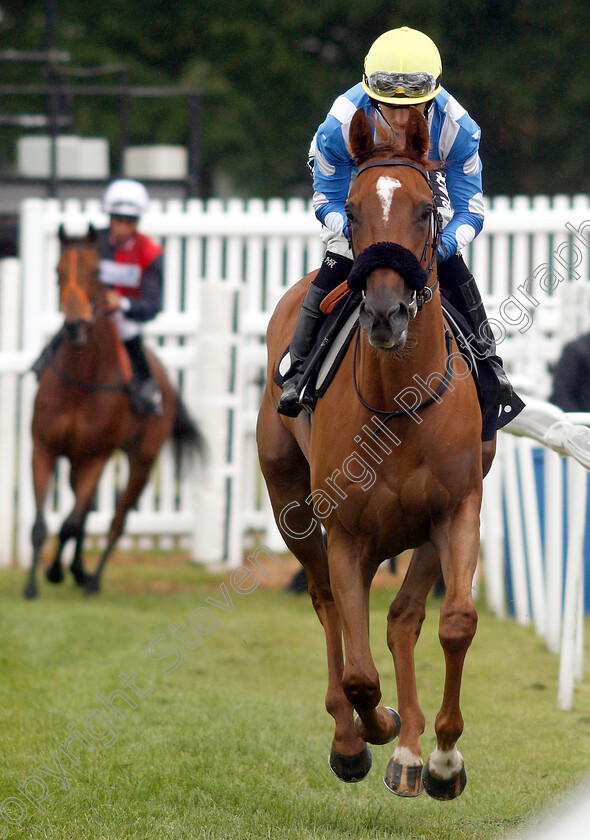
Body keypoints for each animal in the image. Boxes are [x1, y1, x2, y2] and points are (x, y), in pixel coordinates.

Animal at [24, 226, 206, 600]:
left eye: (96, 273)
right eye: (57, 272)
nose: (75, 326)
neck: (80, 381)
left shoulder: (96, 456)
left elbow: (70, 524)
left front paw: (54, 572)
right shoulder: (44, 448)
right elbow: (41, 524)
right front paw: (33, 585)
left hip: (141, 460)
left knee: (116, 520)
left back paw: (91, 578)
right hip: (77, 462)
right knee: (87, 511)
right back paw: (78, 571)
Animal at [256, 106, 498, 800]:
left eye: (423, 209)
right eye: (355, 210)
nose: (386, 314)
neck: (400, 405)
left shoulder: (457, 509)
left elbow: (453, 622)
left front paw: (442, 759)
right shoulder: (345, 533)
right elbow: (361, 672)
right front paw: (375, 728)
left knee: (401, 618)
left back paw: (413, 754)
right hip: (292, 508)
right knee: (330, 607)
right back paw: (354, 736)